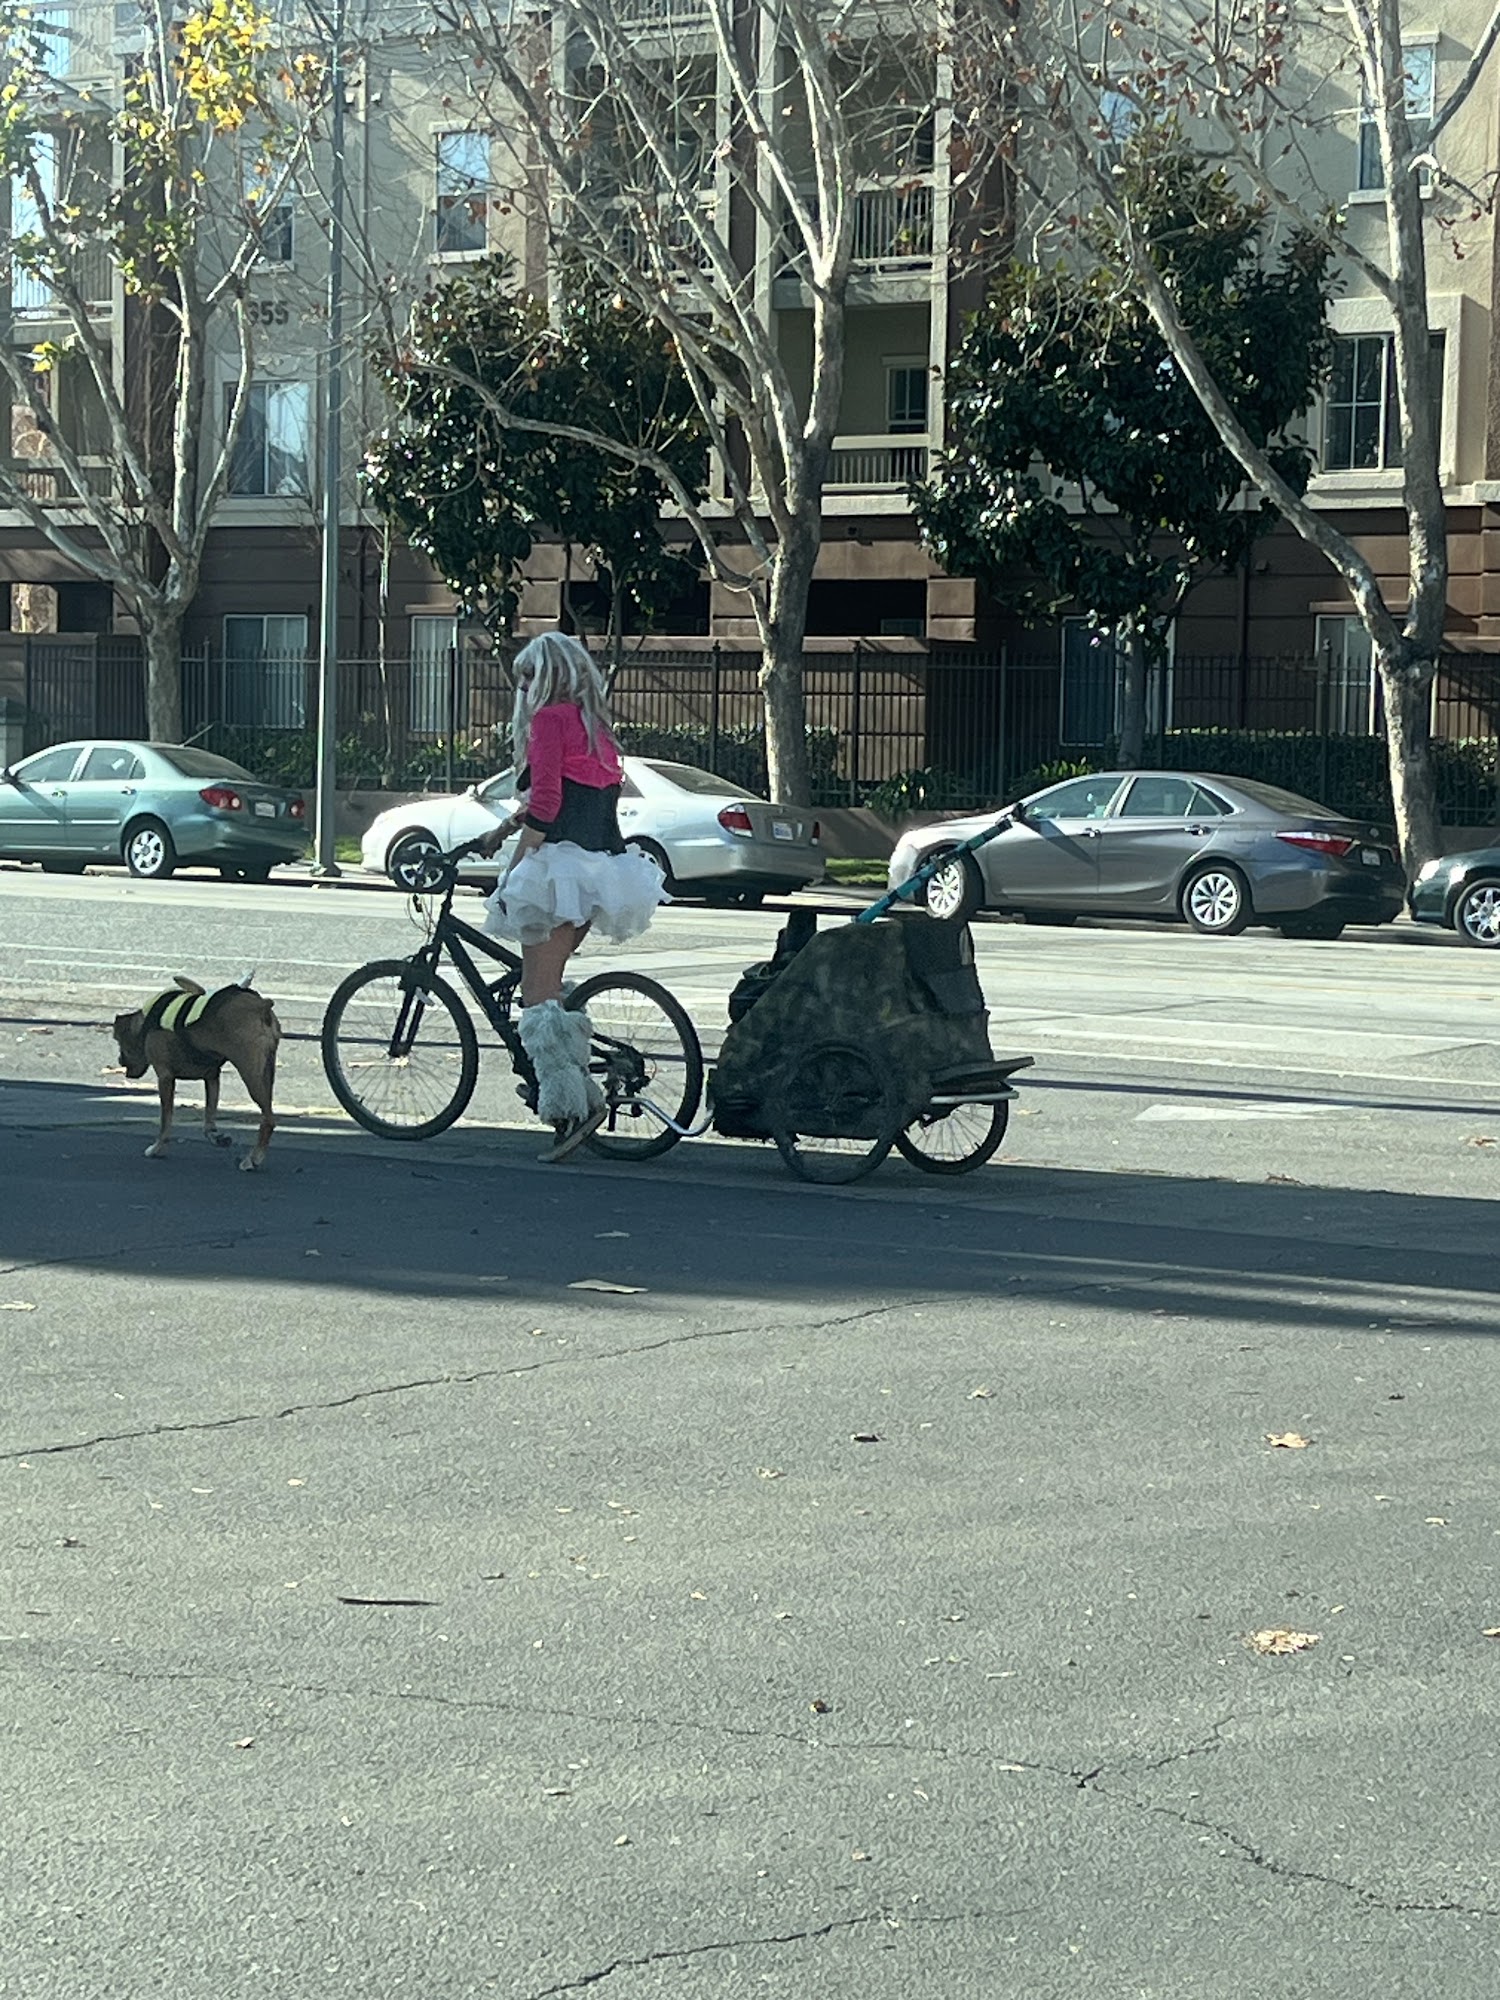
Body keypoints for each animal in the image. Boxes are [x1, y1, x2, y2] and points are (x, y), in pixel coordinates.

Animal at [111, 975, 281, 1172]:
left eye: (120, 1042)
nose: (119, 1061)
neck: (146, 1024)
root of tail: (261, 1006)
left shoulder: (165, 1078)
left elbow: (165, 1120)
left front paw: (158, 1148)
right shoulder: (212, 1078)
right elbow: (209, 1119)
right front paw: (216, 1137)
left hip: (251, 1074)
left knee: (268, 1120)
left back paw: (253, 1159)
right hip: (267, 1072)